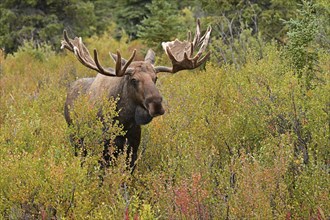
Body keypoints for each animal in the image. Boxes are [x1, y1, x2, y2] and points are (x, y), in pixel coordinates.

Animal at [61, 18, 211, 170]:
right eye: (133, 79)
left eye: (155, 78)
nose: (156, 105)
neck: (124, 121)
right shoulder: (103, 148)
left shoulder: (133, 147)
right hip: (76, 139)